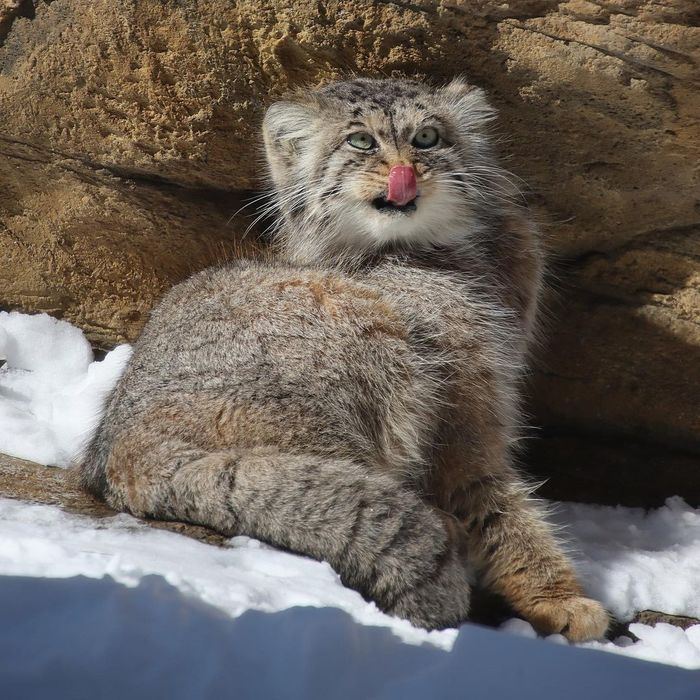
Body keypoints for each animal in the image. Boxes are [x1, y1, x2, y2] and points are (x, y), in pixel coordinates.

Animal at [79, 76, 608, 640]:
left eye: (426, 137)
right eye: (360, 142)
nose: (404, 173)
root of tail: (123, 450)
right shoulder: (464, 410)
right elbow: (494, 500)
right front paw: (561, 598)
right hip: (356, 353)